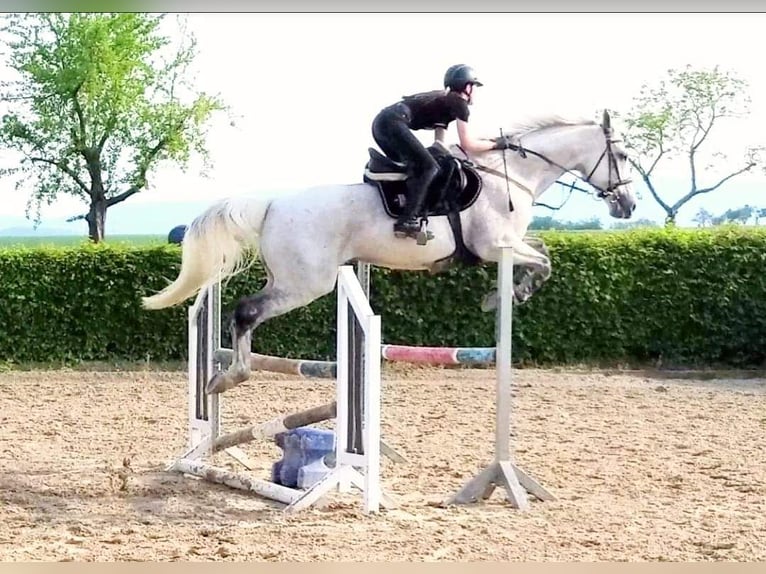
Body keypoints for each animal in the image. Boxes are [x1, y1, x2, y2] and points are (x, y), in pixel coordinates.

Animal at [142, 109, 636, 396]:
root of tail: (273, 203)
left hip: (292, 278)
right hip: (306, 282)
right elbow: (544, 263)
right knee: (246, 312)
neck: (511, 173)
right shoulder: (496, 246)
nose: (627, 205)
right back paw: (230, 377)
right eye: (625, 156)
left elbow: (542, 250)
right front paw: (503, 297)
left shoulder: (507, 245)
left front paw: (506, 295)